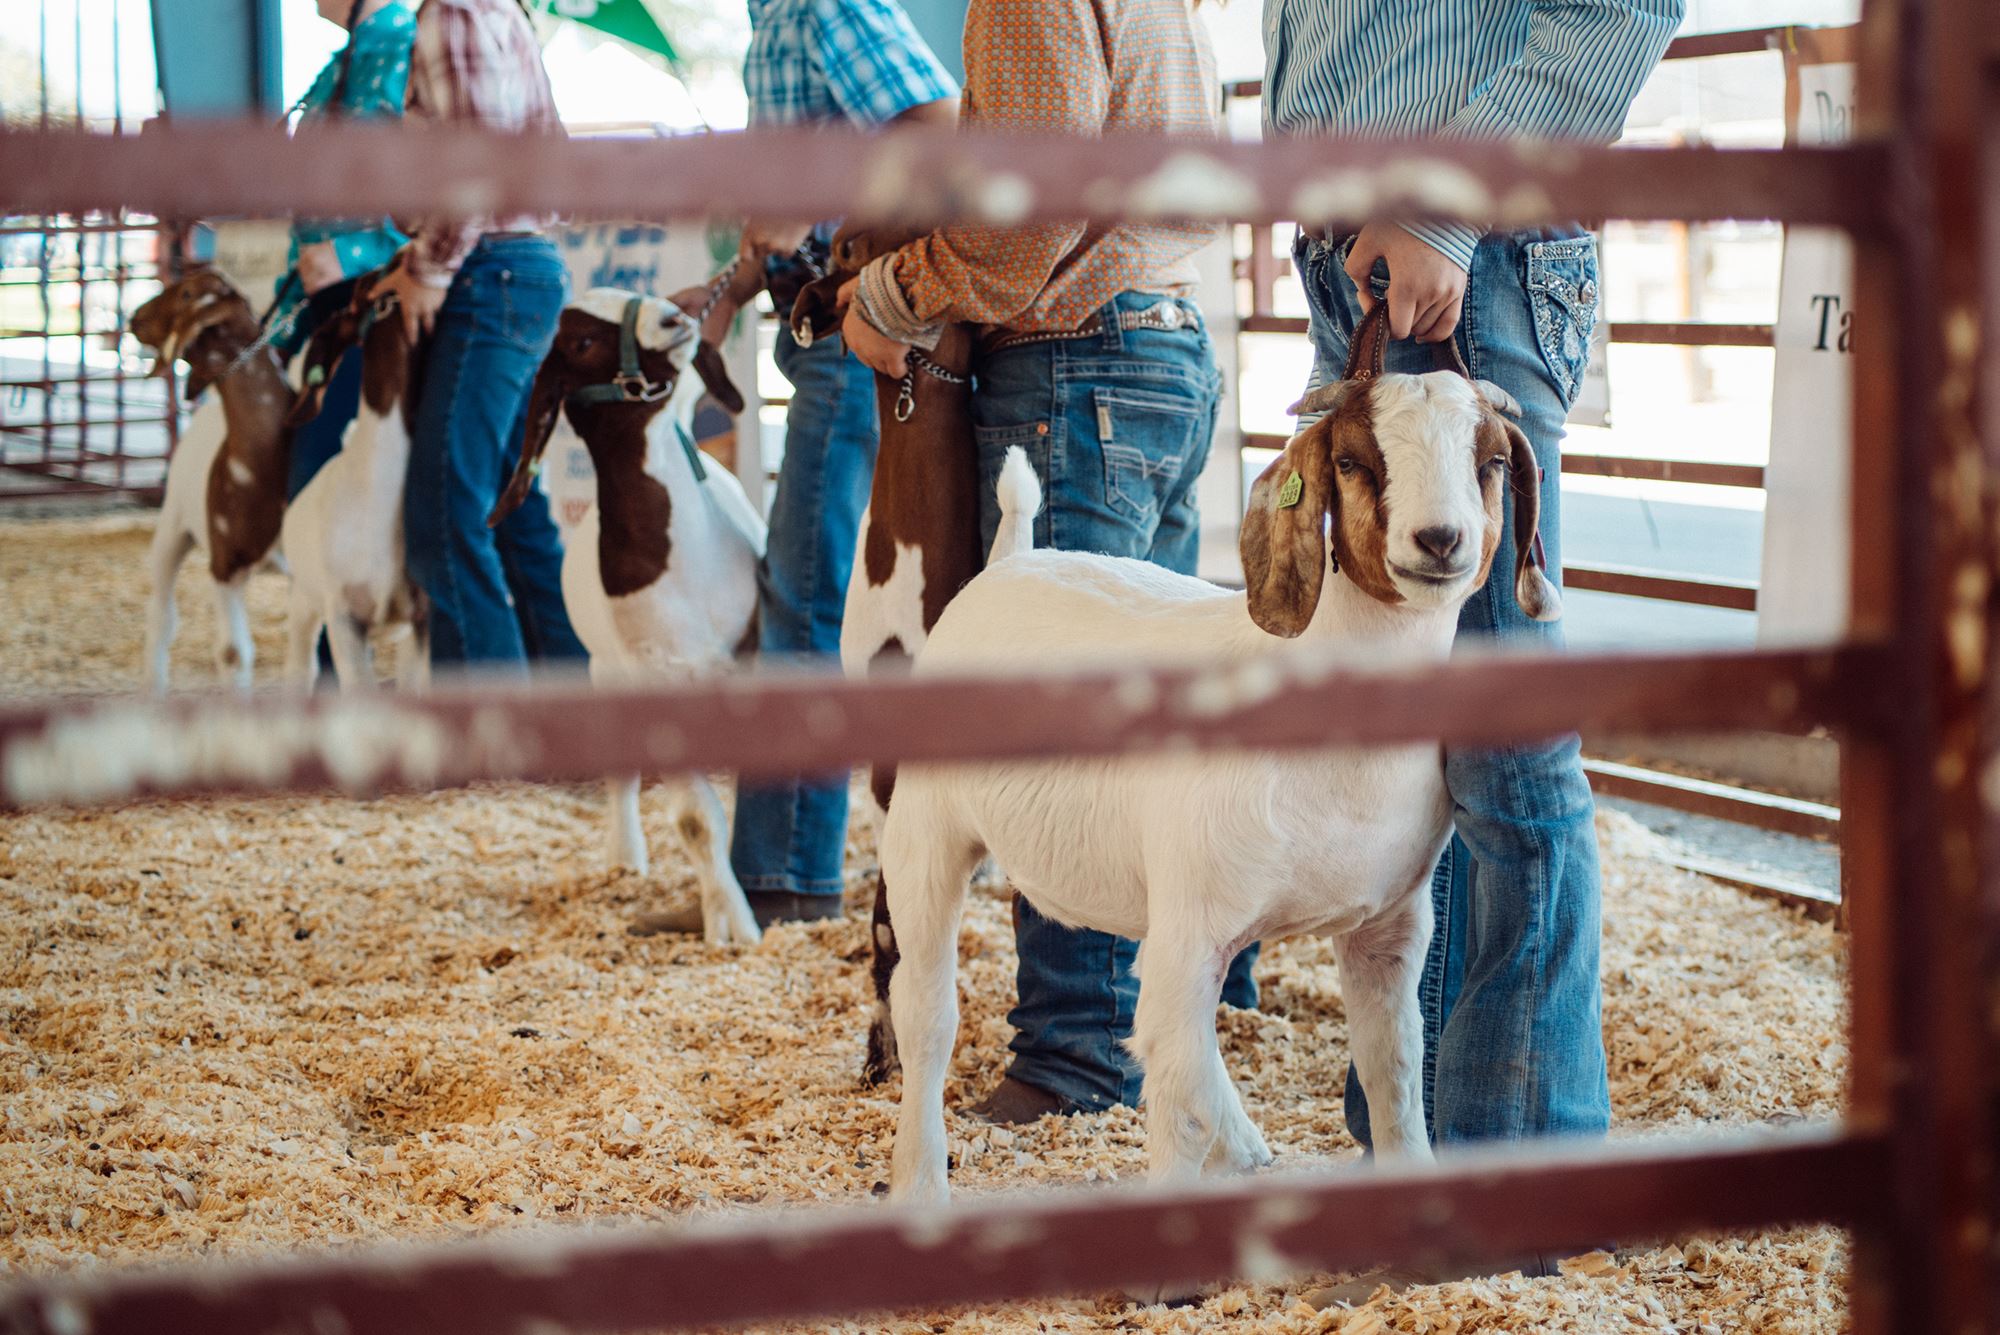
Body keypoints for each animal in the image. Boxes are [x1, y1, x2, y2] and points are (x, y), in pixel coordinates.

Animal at [486, 287, 764, 943]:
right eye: (583, 341)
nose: (676, 318)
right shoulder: (659, 686)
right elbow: (695, 819)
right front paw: (731, 922)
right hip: (606, 673)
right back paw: (624, 857)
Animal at [880, 361, 1560, 1199]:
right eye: (1352, 461)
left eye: (1491, 462)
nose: (1440, 539)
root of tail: (1010, 558)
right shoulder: (1198, 920)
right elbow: (1184, 1107)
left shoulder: (1388, 927)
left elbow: (1395, 1075)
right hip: (926, 830)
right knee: (926, 1011)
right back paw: (920, 1179)